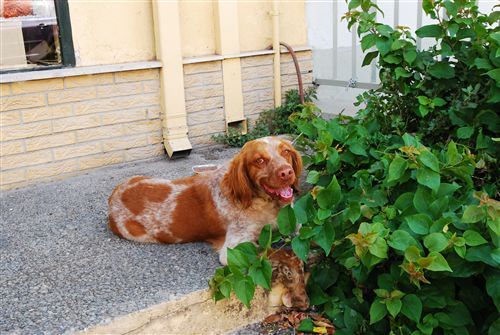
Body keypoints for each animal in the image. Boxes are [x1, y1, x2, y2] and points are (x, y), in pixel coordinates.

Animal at [108, 136, 302, 266]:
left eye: (285, 151)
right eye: (259, 160)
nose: (286, 172)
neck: (264, 203)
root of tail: (113, 196)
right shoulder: (232, 250)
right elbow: (273, 252)